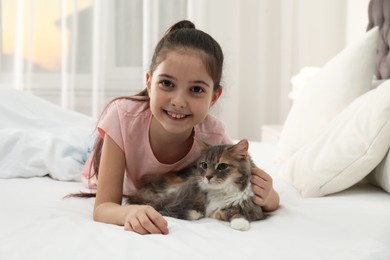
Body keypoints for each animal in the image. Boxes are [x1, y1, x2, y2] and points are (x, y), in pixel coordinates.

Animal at [126, 139, 266, 231]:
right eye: (204, 165)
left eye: (222, 166)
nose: (208, 177)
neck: (220, 191)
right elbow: (201, 211)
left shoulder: (254, 209)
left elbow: (235, 212)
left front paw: (240, 223)